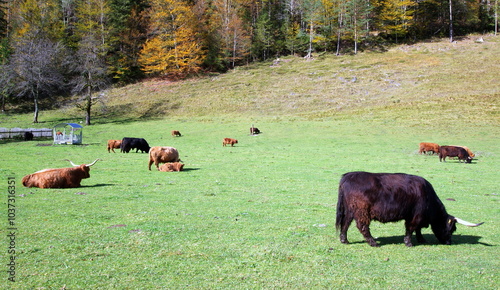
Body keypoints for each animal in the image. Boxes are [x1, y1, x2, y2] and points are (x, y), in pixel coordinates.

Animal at [334, 172, 482, 247]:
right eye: (451, 229)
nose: (449, 242)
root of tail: (348, 176)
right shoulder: (415, 215)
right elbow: (411, 228)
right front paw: (409, 242)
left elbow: (418, 229)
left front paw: (422, 239)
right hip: (362, 211)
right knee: (362, 226)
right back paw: (373, 242)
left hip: (350, 210)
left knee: (345, 224)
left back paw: (344, 240)